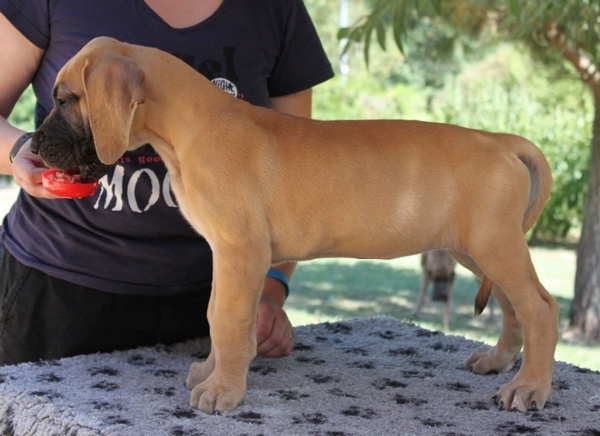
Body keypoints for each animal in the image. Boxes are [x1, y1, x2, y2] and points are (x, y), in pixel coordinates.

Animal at [31, 37, 559, 415]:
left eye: (66, 99)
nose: (32, 148)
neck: (192, 128)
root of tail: (501, 140)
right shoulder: (227, 254)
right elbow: (218, 314)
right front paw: (214, 372)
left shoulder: (241, 251)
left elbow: (227, 319)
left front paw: (222, 392)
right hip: (477, 248)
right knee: (513, 307)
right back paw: (497, 363)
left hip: (494, 244)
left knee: (539, 307)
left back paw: (528, 388)